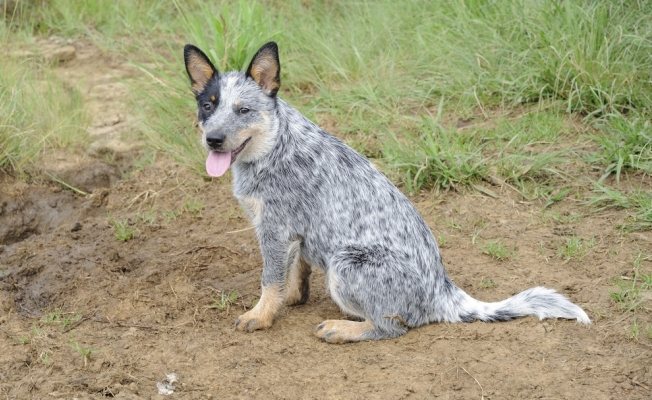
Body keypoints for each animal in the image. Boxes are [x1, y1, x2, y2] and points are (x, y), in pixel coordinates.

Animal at [183, 43, 592, 344]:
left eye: (244, 109)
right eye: (207, 105)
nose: (212, 139)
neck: (272, 147)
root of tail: (445, 293)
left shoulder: (274, 228)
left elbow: (269, 280)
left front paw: (260, 316)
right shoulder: (291, 232)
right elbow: (293, 271)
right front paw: (293, 298)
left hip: (345, 263)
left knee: (393, 327)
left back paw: (343, 328)